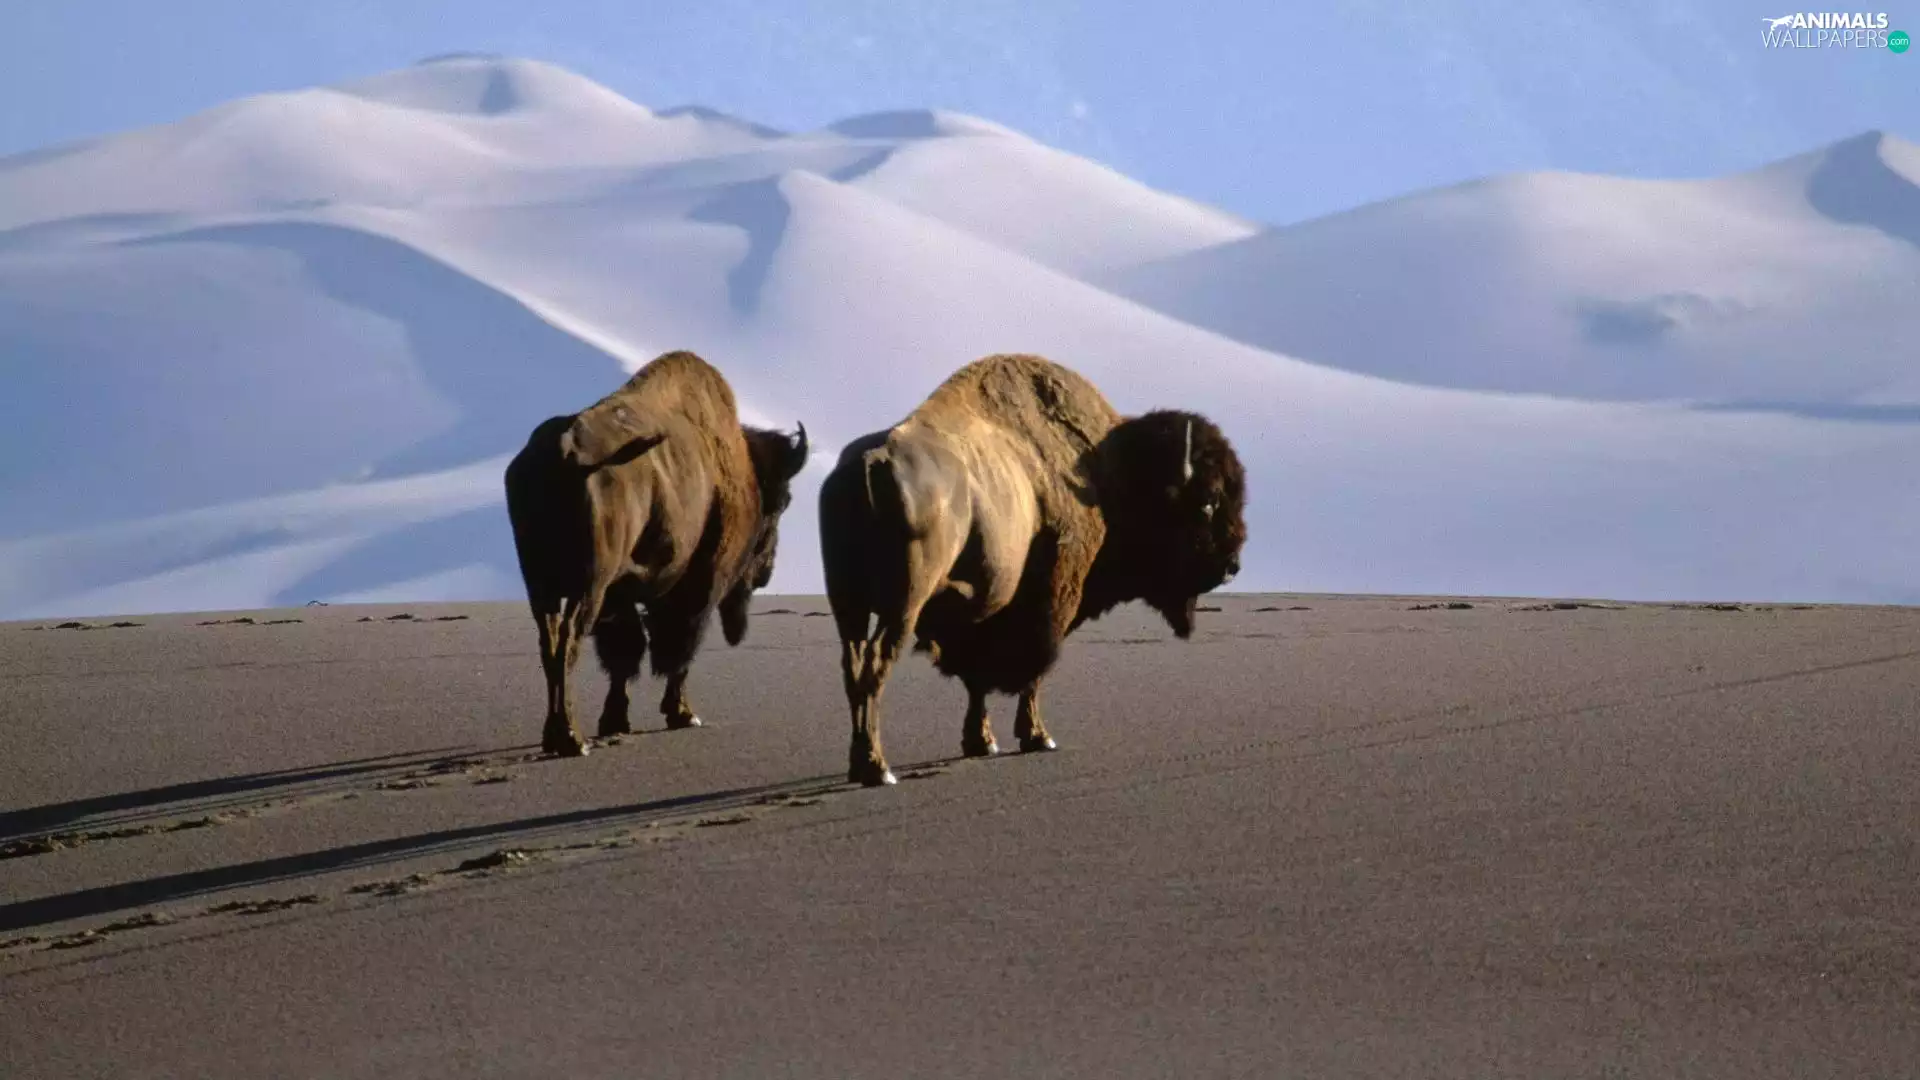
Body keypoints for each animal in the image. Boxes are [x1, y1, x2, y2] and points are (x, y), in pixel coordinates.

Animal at [505, 350, 809, 757]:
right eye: (782, 503)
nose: (766, 573)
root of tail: (566, 449)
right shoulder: (699, 585)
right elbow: (676, 648)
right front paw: (682, 714)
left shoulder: (621, 595)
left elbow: (626, 654)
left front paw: (616, 720)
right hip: (588, 586)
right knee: (569, 643)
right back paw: (571, 738)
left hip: (543, 588)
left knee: (551, 644)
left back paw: (556, 735)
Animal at [819, 353, 1248, 786]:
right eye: (1208, 503)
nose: (1232, 566)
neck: (1108, 471)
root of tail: (871, 462)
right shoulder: (1052, 601)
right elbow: (1033, 672)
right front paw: (1038, 737)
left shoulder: (983, 613)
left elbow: (978, 679)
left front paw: (982, 742)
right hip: (903, 602)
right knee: (876, 663)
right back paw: (878, 768)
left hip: (847, 603)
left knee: (853, 665)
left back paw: (861, 762)